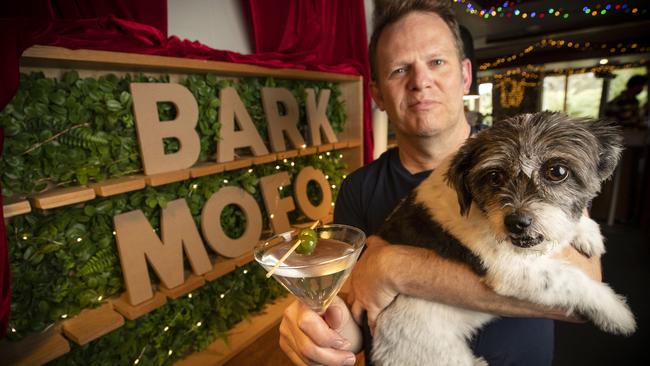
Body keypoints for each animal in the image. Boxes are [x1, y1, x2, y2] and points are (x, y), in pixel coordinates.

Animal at [370, 112, 632, 366]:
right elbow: (571, 279)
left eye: (557, 171)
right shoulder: (512, 271)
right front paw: (615, 311)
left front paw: (586, 232)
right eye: (494, 176)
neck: (478, 207)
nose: (517, 222)